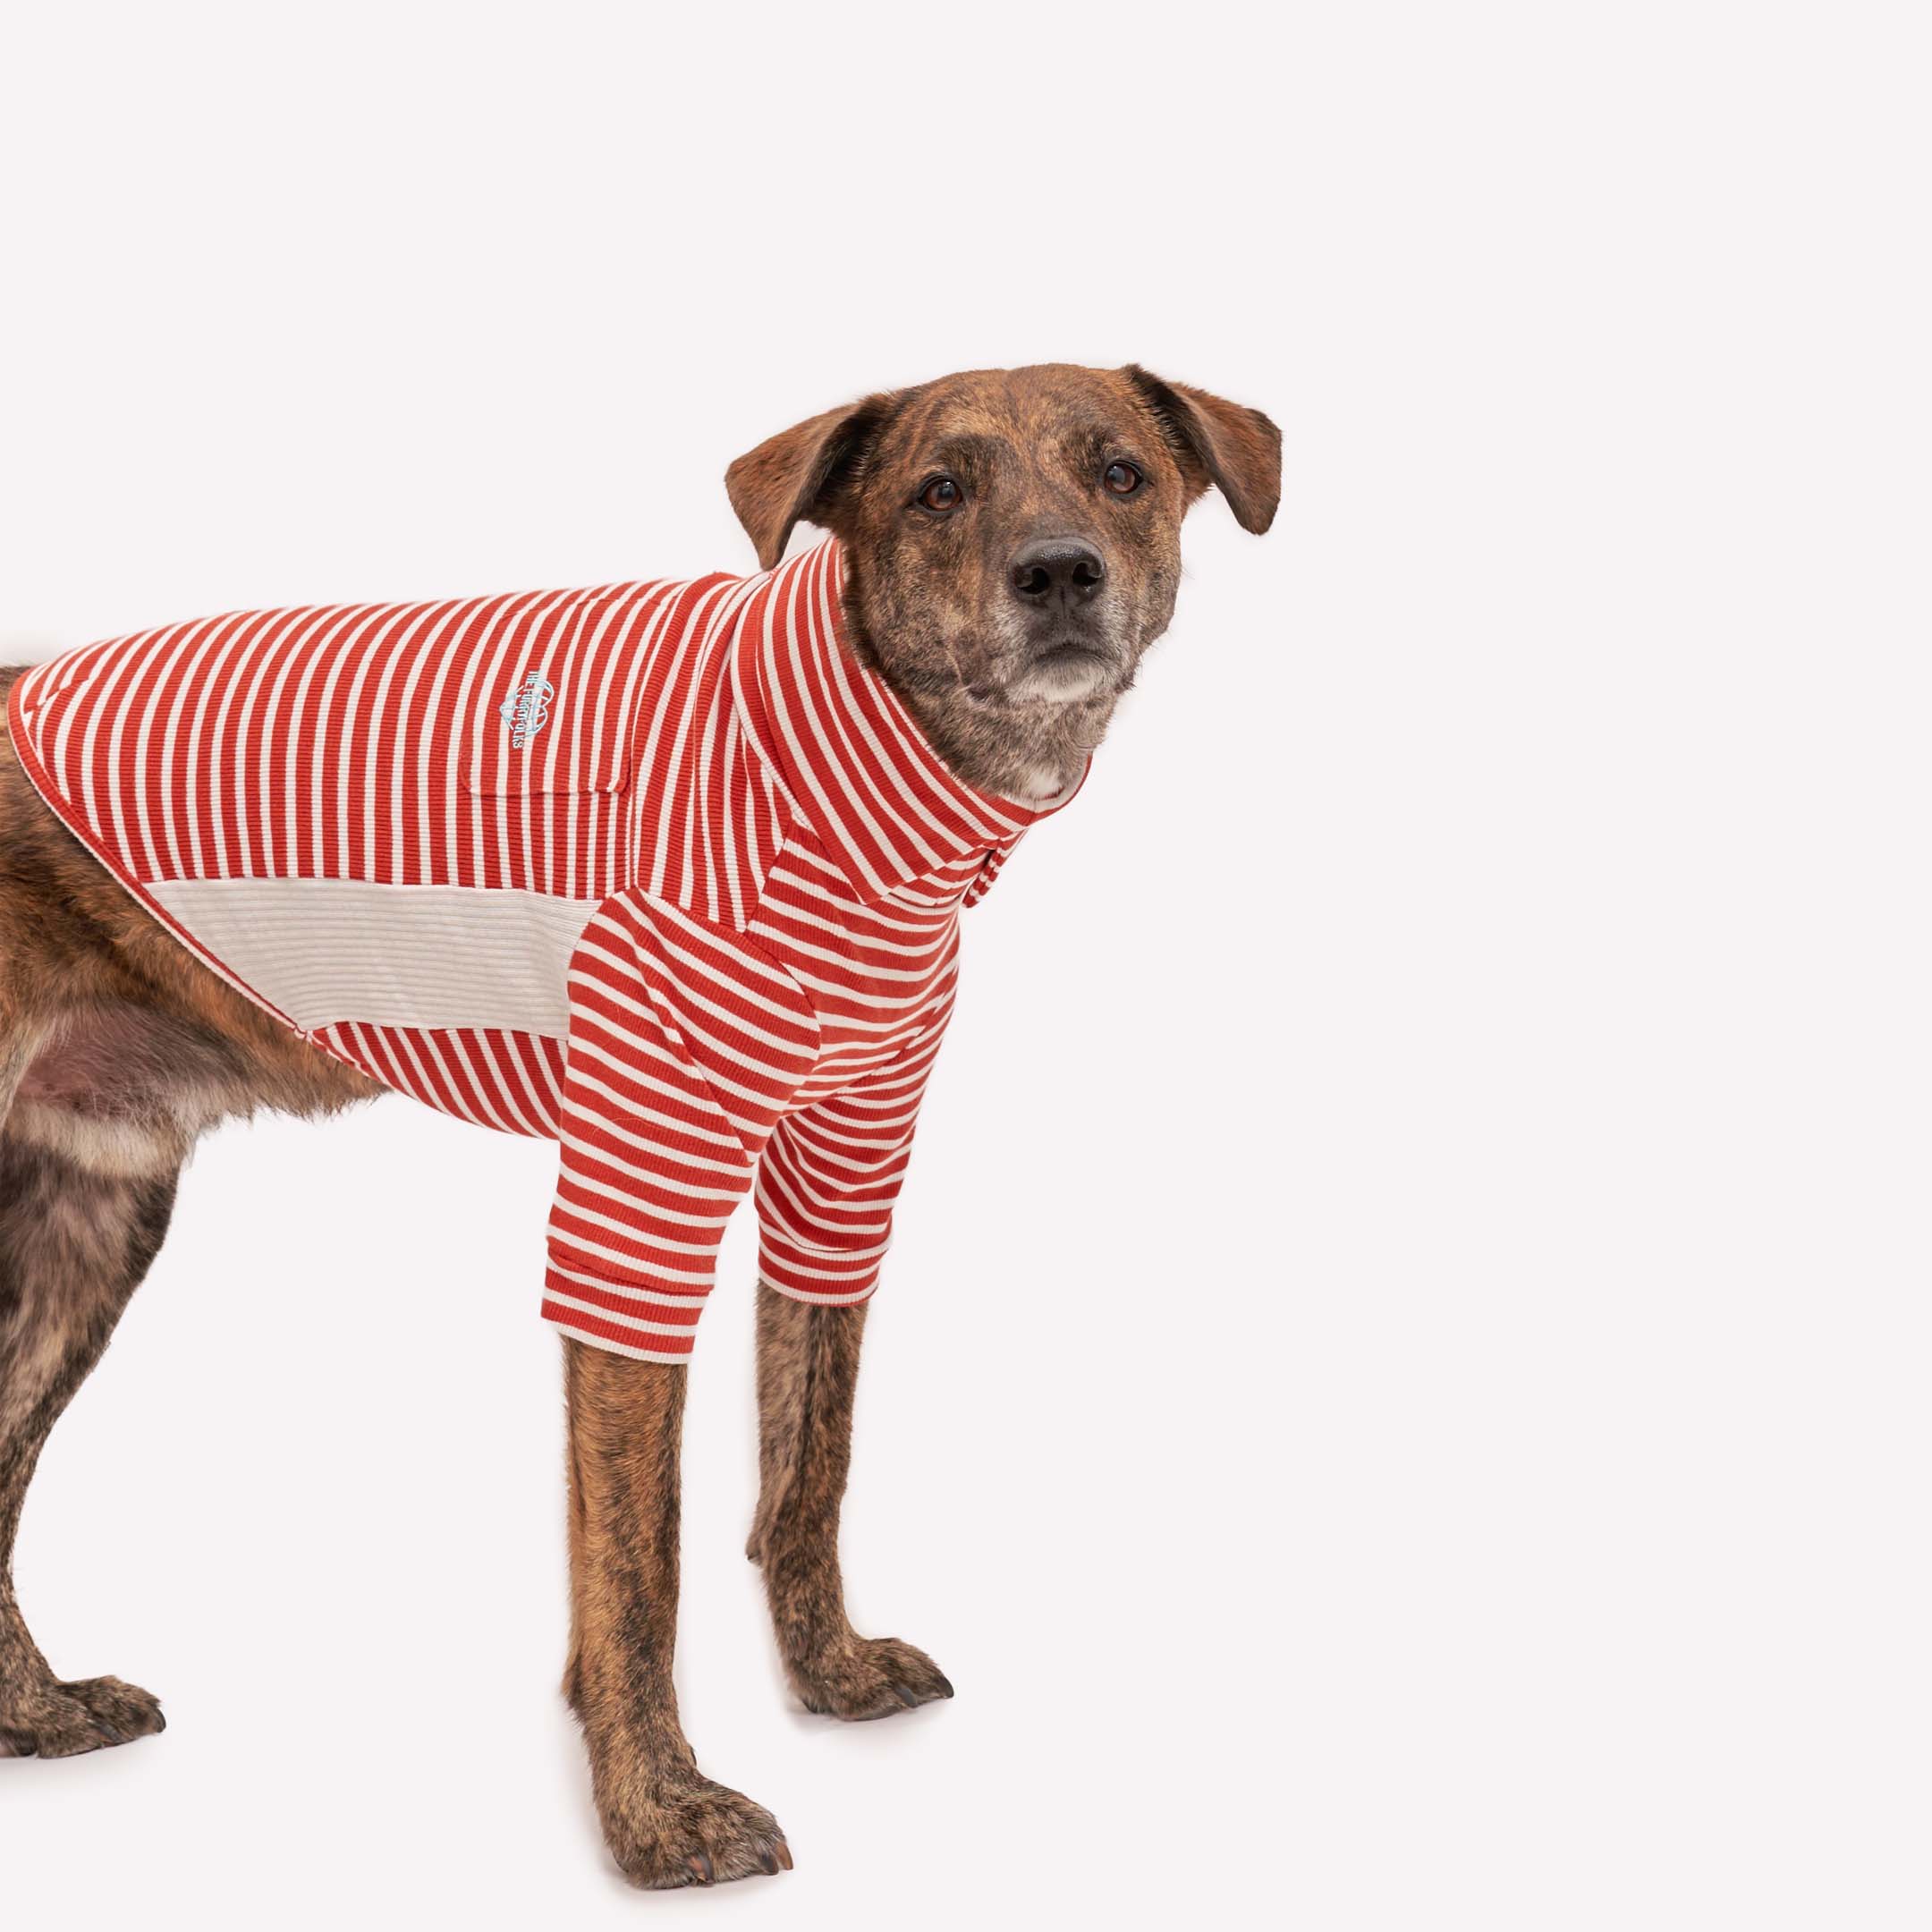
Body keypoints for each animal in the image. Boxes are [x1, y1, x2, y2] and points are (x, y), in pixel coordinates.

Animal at [0, 363, 1283, 1885]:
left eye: (1123, 473)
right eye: (939, 493)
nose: (1061, 573)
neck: (827, 774)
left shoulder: (843, 1171)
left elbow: (810, 1466)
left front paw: (828, 1674)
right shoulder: (637, 1197)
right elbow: (638, 1558)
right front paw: (658, 1813)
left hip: (91, 1217)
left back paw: (35, 1713)